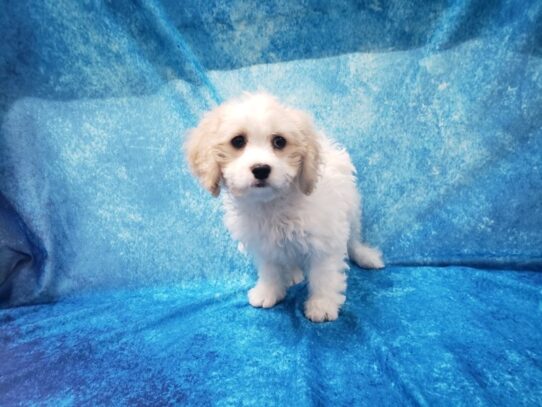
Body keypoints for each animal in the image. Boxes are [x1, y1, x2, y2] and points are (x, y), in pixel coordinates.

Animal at [187, 92, 386, 322]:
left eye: (279, 141)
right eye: (238, 141)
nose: (261, 169)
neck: (272, 204)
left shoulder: (325, 239)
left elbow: (324, 275)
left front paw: (322, 305)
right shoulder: (263, 243)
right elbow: (269, 270)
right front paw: (268, 292)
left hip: (352, 210)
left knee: (353, 239)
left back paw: (365, 256)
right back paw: (292, 274)